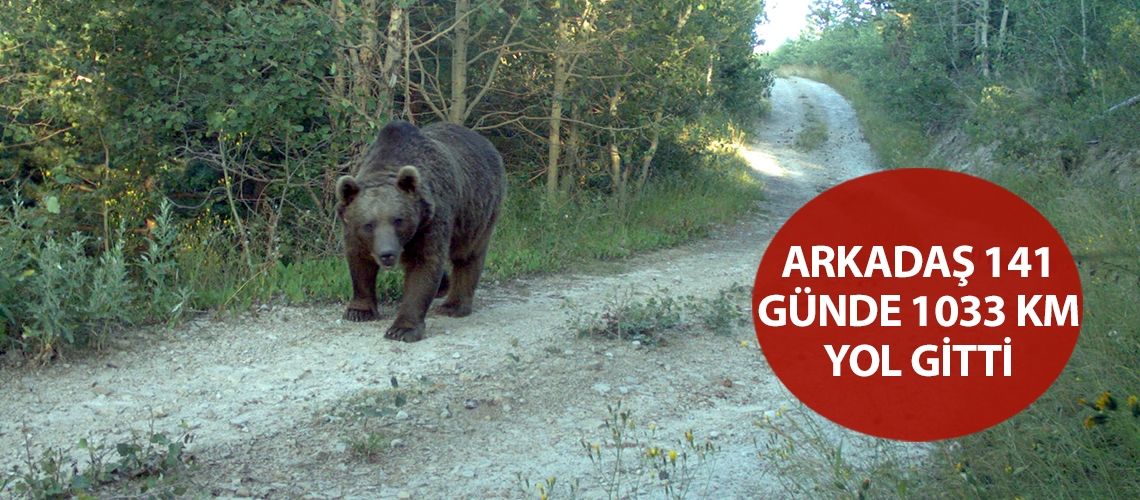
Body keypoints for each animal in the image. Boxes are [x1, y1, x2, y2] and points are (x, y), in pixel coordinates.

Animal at [332, 120, 503, 343]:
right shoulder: (353, 229)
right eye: (368, 224)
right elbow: (360, 261)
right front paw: (358, 311)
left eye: (398, 220)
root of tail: (486, 142)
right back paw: (444, 286)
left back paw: (454, 305)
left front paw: (402, 329)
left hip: (477, 210)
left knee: (469, 254)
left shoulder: (431, 220)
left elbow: (423, 265)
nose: (387, 254)